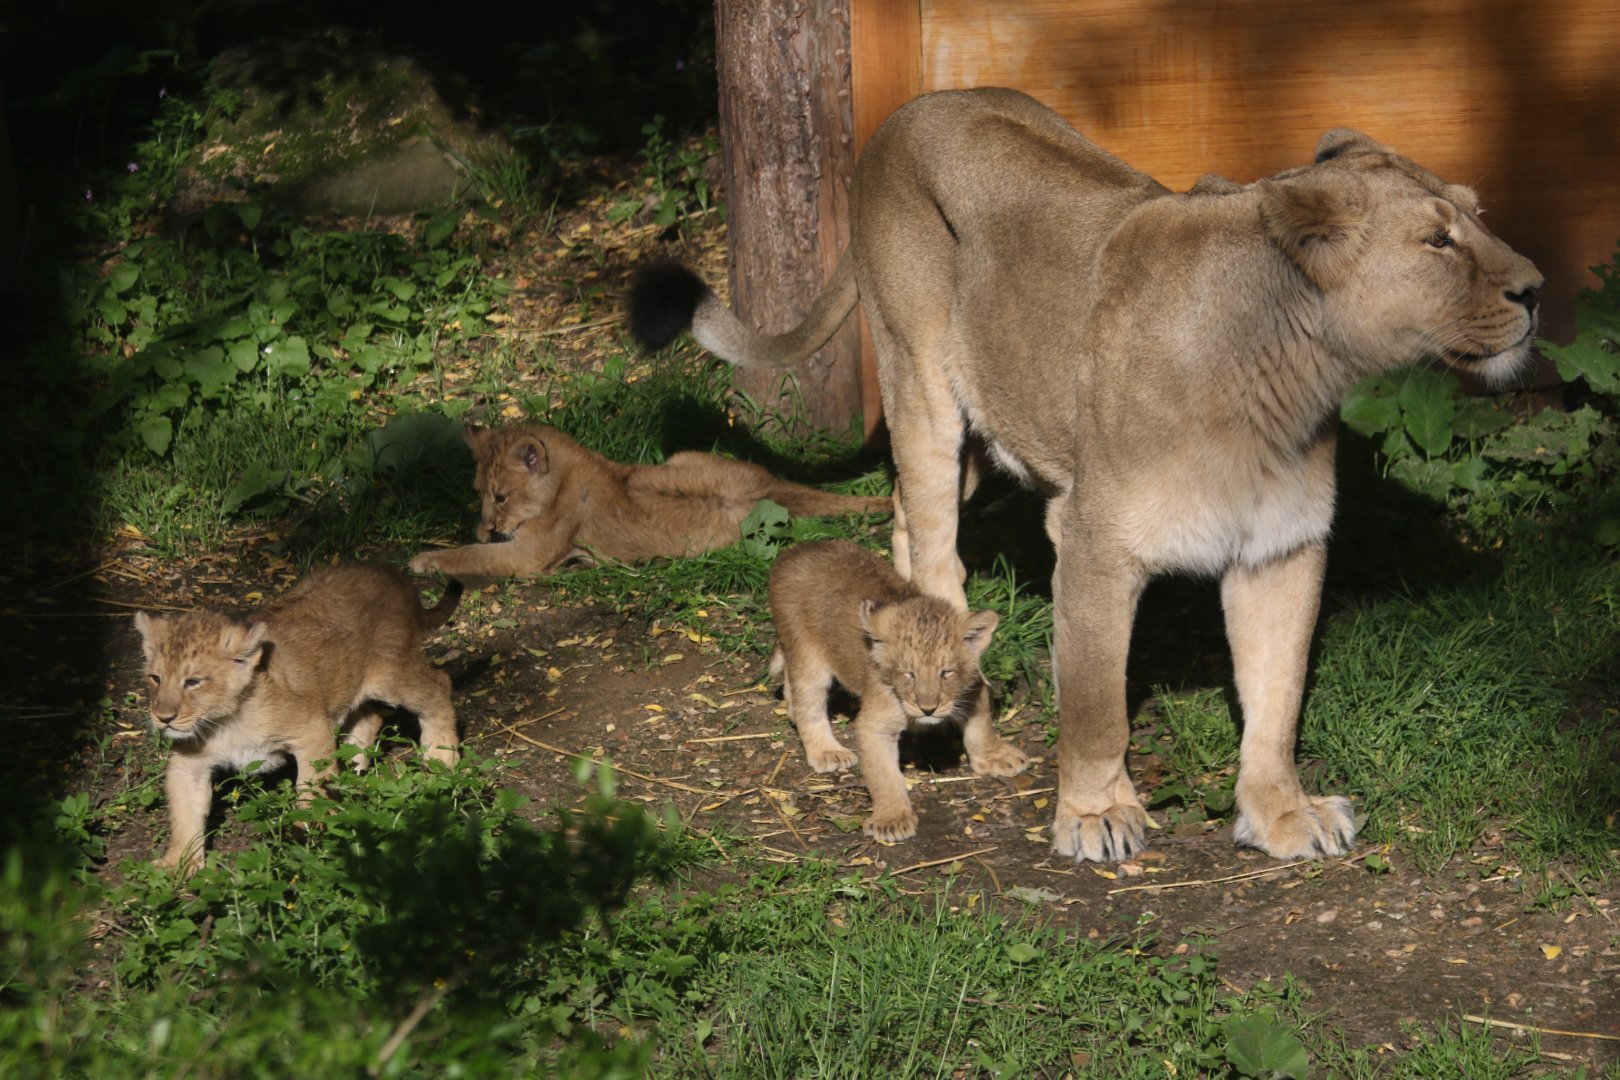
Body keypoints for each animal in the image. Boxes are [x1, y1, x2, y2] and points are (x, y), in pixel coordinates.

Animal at [134, 564, 462, 875]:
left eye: (193, 682)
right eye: (155, 678)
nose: (162, 717)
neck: (225, 722)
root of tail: (392, 573)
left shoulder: (313, 732)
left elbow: (310, 790)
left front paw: (307, 835)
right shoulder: (188, 764)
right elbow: (185, 814)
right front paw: (178, 864)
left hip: (391, 673)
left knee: (439, 684)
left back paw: (440, 759)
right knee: (369, 717)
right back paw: (353, 772)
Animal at [409, 424, 890, 578]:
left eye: (502, 496)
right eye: (478, 494)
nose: (486, 525)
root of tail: (770, 485)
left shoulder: (526, 557)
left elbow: (471, 555)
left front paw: (425, 559)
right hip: (681, 457)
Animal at [768, 539, 1028, 841]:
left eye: (946, 673)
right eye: (908, 674)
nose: (929, 708)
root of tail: (798, 548)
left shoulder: (973, 685)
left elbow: (981, 726)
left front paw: (996, 756)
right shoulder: (875, 724)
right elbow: (884, 775)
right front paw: (891, 820)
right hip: (807, 653)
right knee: (808, 704)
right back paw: (827, 751)